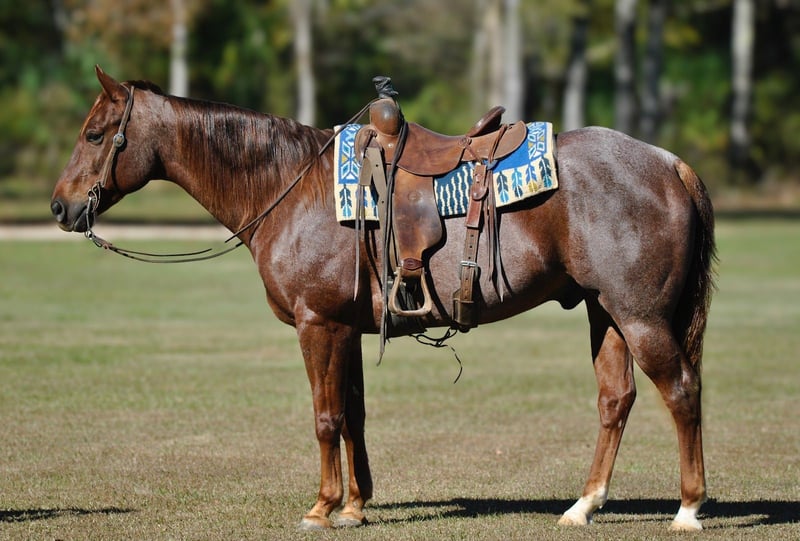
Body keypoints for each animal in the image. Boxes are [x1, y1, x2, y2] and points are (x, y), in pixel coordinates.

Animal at [51, 66, 716, 531]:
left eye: (94, 134)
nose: (60, 206)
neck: (292, 188)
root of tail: (668, 163)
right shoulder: (347, 328)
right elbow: (353, 415)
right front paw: (355, 505)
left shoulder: (318, 325)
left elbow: (325, 418)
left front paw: (322, 507)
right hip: (607, 314)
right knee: (616, 399)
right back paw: (584, 504)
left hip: (640, 316)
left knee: (681, 390)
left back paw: (687, 509)